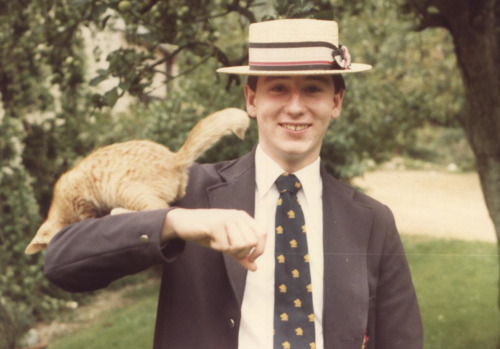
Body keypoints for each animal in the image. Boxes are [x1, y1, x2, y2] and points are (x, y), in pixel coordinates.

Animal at [24, 107, 249, 254]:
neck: (60, 210)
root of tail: (173, 158)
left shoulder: (82, 202)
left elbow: (89, 216)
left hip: (126, 189)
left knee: (159, 208)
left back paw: (117, 211)